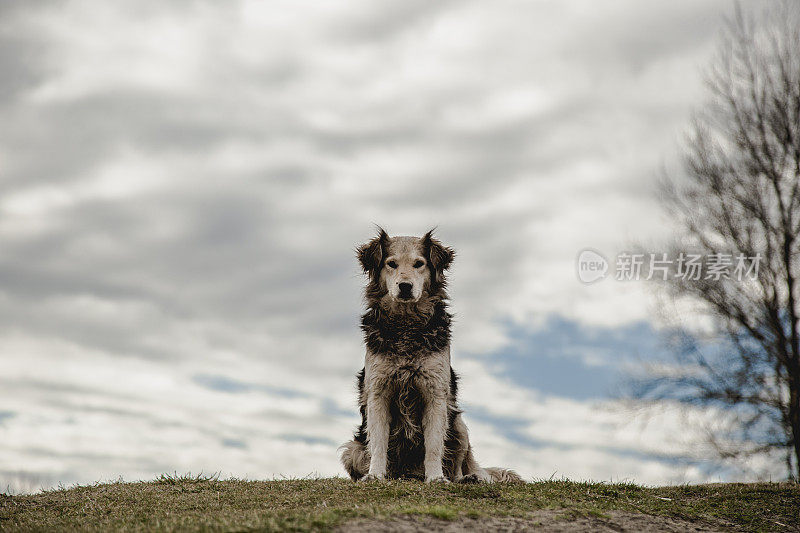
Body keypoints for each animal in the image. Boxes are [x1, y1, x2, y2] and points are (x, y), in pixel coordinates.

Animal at [340, 229, 520, 482]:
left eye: (419, 264)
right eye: (391, 264)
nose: (405, 286)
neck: (406, 327)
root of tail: (409, 474)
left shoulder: (435, 392)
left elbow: (434, 444)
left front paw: (435, 477)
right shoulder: (378, 392)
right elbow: (378, 442)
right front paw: (375, 475)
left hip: (459, 424)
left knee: (459, 464)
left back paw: (466, 478)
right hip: (352, 450)